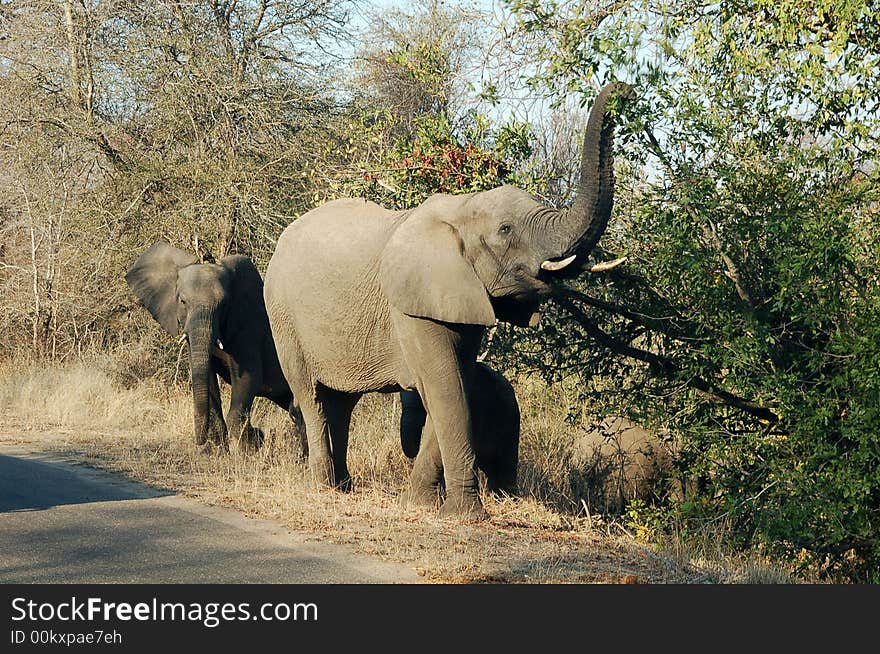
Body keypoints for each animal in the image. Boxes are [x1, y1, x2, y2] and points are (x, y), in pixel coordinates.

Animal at [124, 241, 302, 452]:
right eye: (182, 301)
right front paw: (218, 451)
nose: (199, 443)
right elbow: (206, 377)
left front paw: (251, 447)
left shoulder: (249, 330)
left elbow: (247, 379)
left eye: (224, 304)